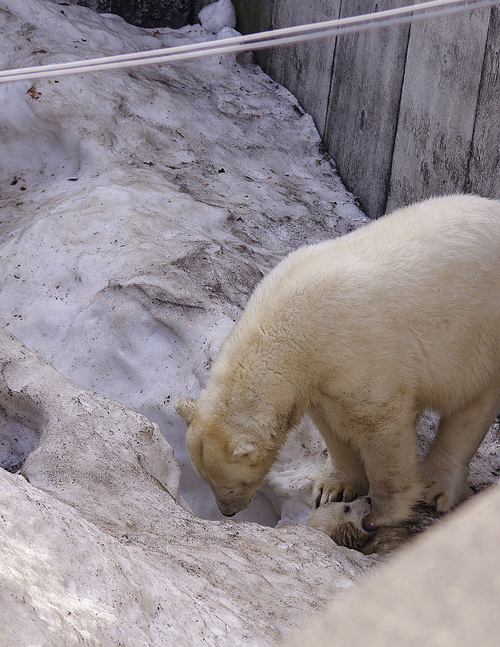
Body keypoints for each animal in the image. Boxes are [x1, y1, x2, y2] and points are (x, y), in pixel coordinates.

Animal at [174, 195, 500, 528]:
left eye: (233, 483)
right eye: (205, 478)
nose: (228, 511)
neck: (290, 326)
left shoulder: (360, 357)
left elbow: (383, 430)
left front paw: (381, 512)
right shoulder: (320, 377)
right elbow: (333, 426)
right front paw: (332, 489)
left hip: (479, 334)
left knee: (471, 404)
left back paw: (438, 489)